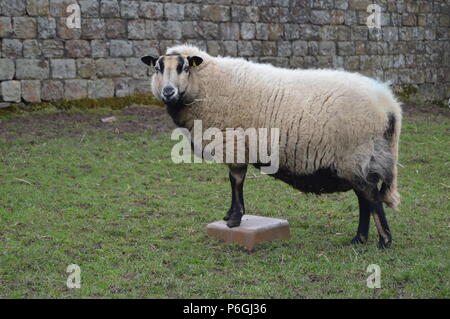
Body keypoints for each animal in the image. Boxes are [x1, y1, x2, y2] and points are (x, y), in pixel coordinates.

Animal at [142, 45, 402, 249]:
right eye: (157, 68)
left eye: (184, 68)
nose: (168, 92)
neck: (207, 86)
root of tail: (389, 105)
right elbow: (234, 181)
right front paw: (230, 215)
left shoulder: (235, 143)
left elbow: (236, 181)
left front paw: (234, 219)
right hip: (359, 159)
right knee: (364, 197)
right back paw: (359, 239)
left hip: (356, 154)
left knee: (371, 195)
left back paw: (384, 240)